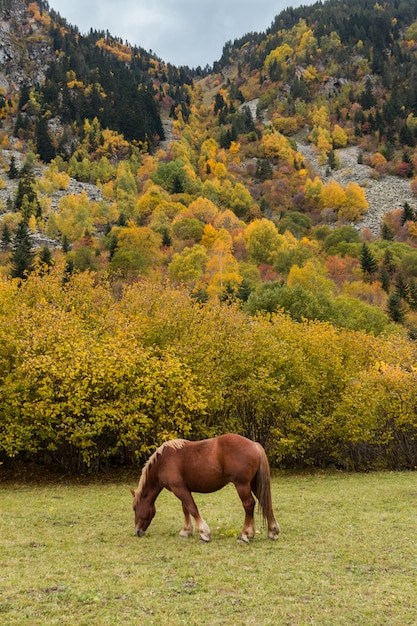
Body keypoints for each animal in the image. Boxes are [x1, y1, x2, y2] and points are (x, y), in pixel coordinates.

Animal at [130, 432, 280, 540]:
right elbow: (185, 509)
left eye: (134, 508)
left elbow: (192, 508)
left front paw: (204, 533)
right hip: (254, 484)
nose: (137, 531)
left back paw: (245, 534)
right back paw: (272, 531)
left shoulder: (179, 489)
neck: (163, 462)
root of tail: (254, 444)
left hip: (242, 485)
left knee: (249, 504)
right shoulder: (183, 489)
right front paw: (186, 531)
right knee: (265, 502)